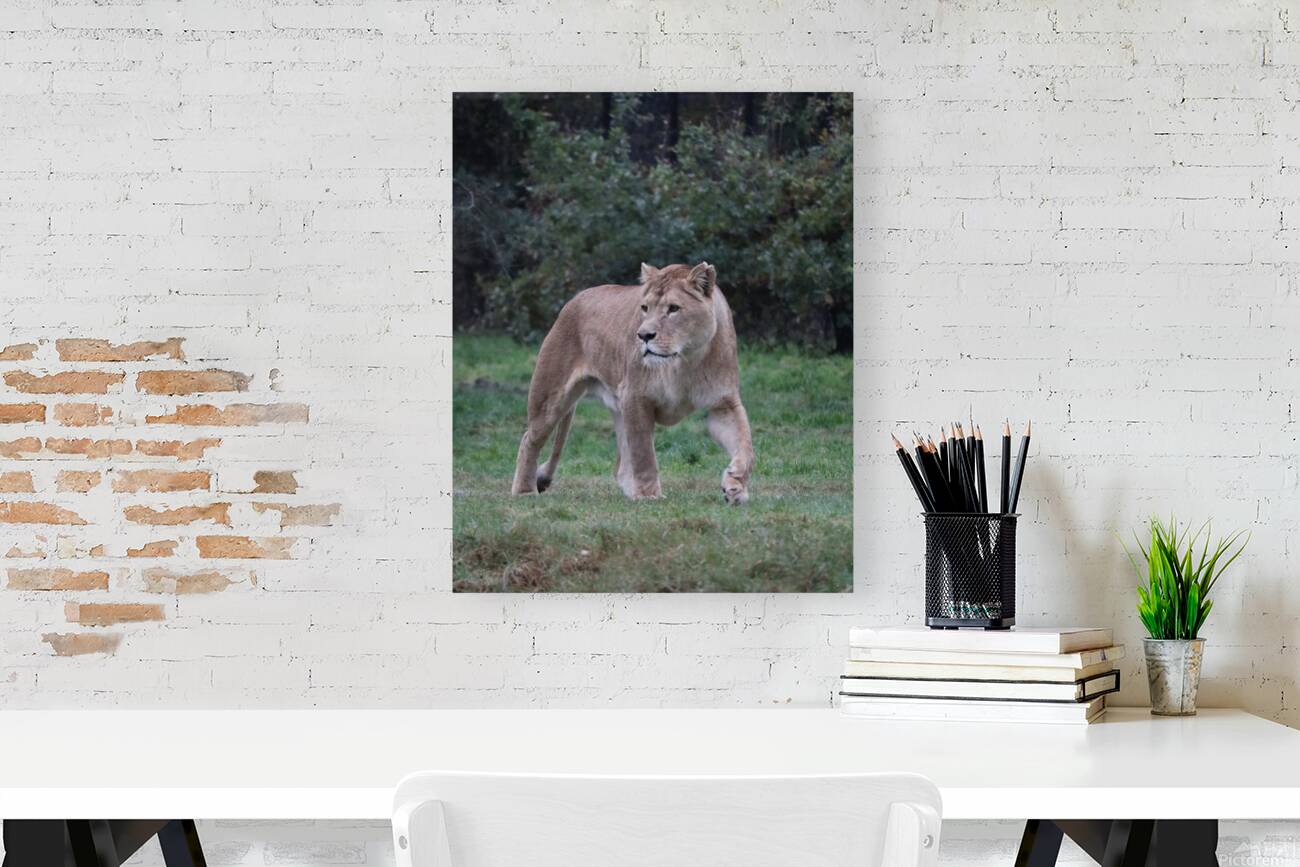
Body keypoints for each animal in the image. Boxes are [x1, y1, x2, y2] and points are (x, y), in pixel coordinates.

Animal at [511, 261, 754, 504]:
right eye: (645, 308)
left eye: (673, 308)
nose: (644, 335)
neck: (684, 360)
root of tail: (575, 299)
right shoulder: (636, 397)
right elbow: (643, 453)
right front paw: (648, 495)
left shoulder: (723, 404)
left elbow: (745, 443)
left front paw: (735, 483)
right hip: (550, 397)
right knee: (529, 440)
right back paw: (524, 490)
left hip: (617, 407)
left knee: (621, 465)